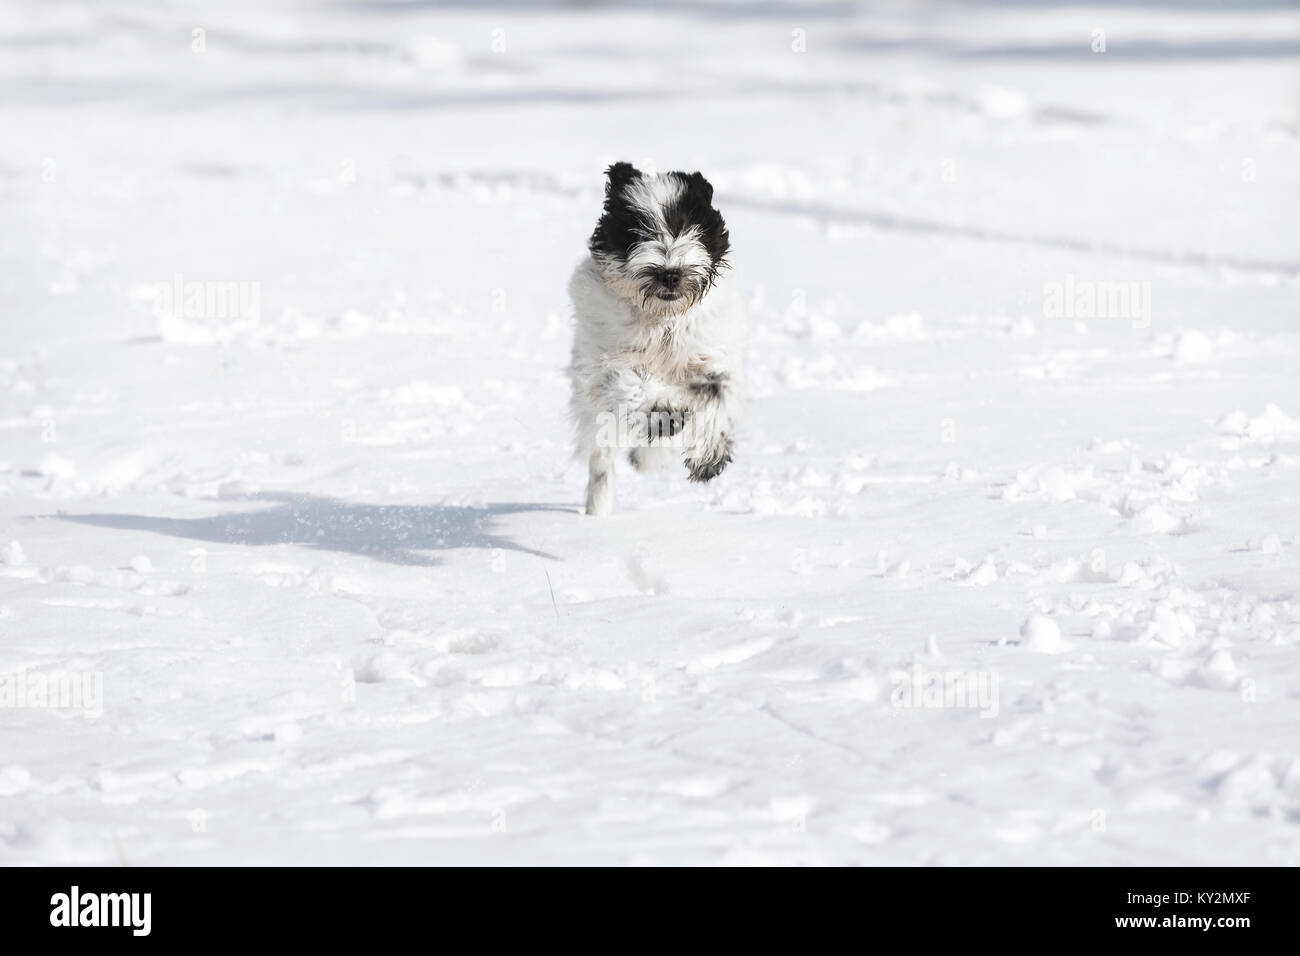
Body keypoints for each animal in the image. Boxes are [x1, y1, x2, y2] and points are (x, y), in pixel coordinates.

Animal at [566, 164, 748, 515]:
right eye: (638, 232)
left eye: (686, 225)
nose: (669, 273)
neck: (663, 323)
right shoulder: (610, 364)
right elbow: (635, 386)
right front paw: (663, 412)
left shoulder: (709, 364)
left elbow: (715, 398)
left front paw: (708, 459)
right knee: (602, 459)